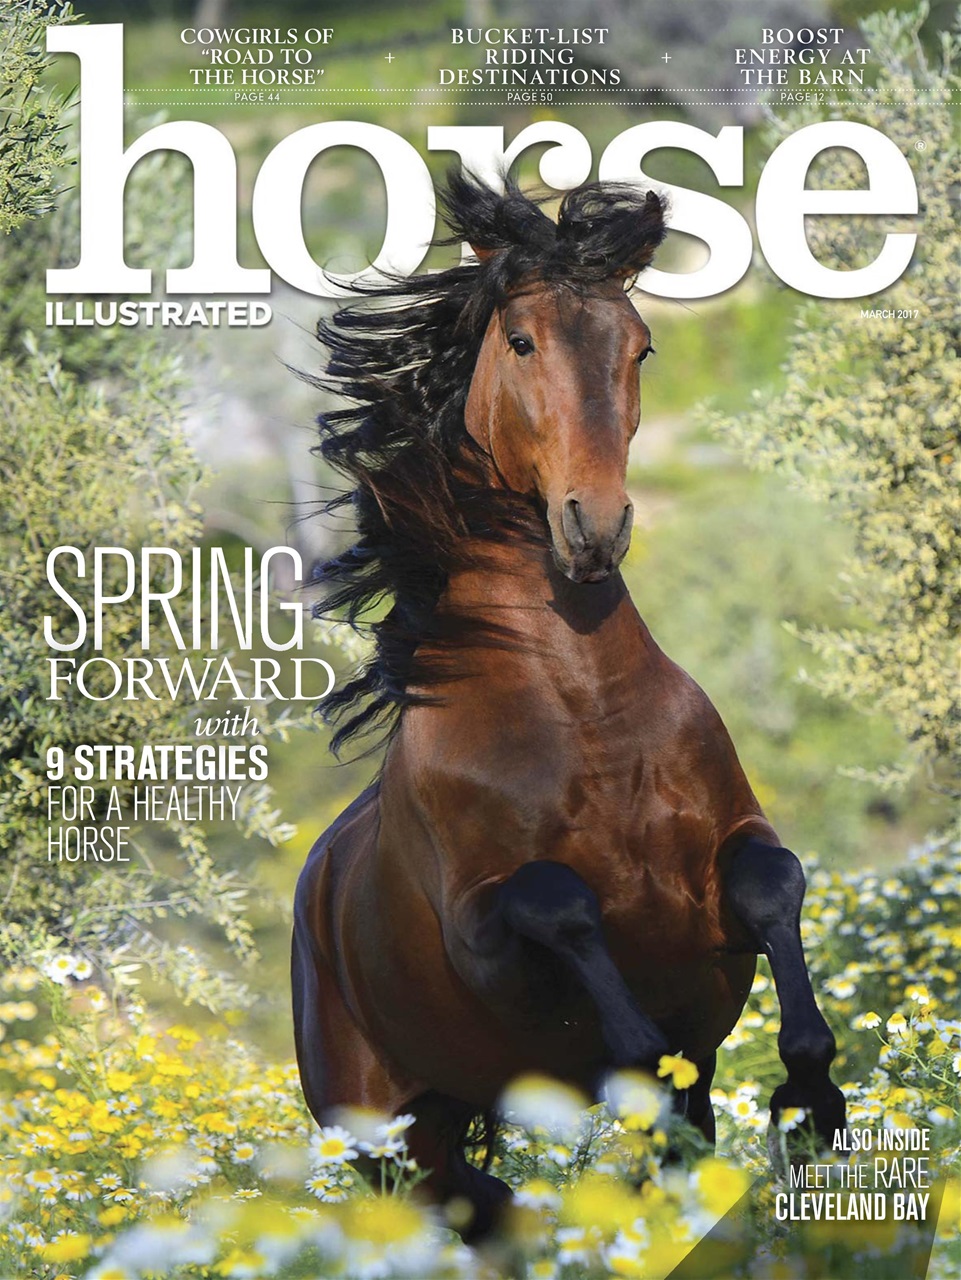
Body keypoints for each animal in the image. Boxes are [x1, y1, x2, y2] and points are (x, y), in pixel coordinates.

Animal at [292, 172, 846, 1236]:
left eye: (639, 346)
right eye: (519, 341)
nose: (595, 527)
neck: (586, 712)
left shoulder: (732, 860)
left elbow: (773, 885)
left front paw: (810, 1105)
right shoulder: (482, 931)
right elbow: (559, 902)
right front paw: (640, 1057)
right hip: (383, 1139)